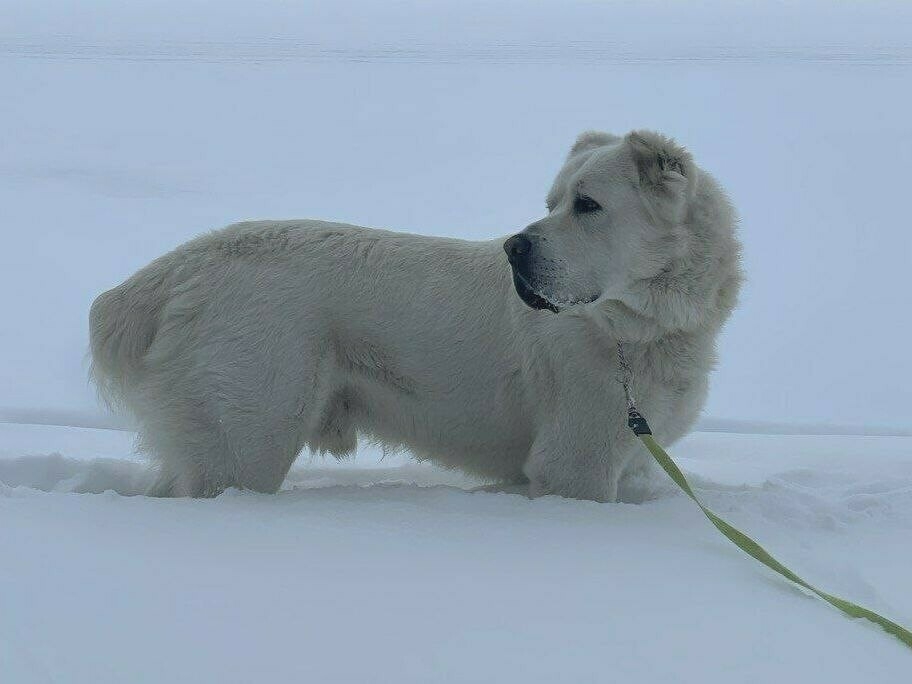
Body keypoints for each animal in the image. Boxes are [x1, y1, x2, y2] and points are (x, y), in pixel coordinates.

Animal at [89, 130, 740, 502]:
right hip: (249, 438)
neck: (636, 328)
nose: (514, 248)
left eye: (587, 205)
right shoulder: (575, 465)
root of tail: (185, 262)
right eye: (554, 202)